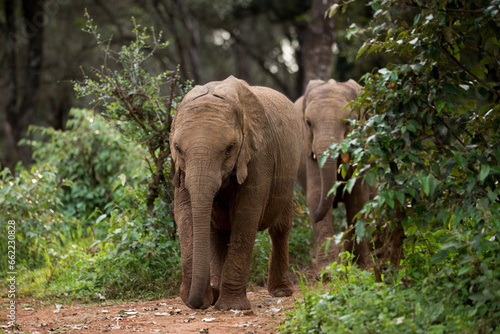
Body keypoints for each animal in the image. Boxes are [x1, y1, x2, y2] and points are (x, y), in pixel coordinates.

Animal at [170, 75, 302, 310]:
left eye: (230, 148)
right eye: (177, 148)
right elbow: (185, 212)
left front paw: (232, 306)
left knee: (280, 229)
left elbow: (245, 213)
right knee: (218, 235)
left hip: (289, 175)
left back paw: (281, 292)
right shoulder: (181, 169)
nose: (206, 298)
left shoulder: (259, 154)